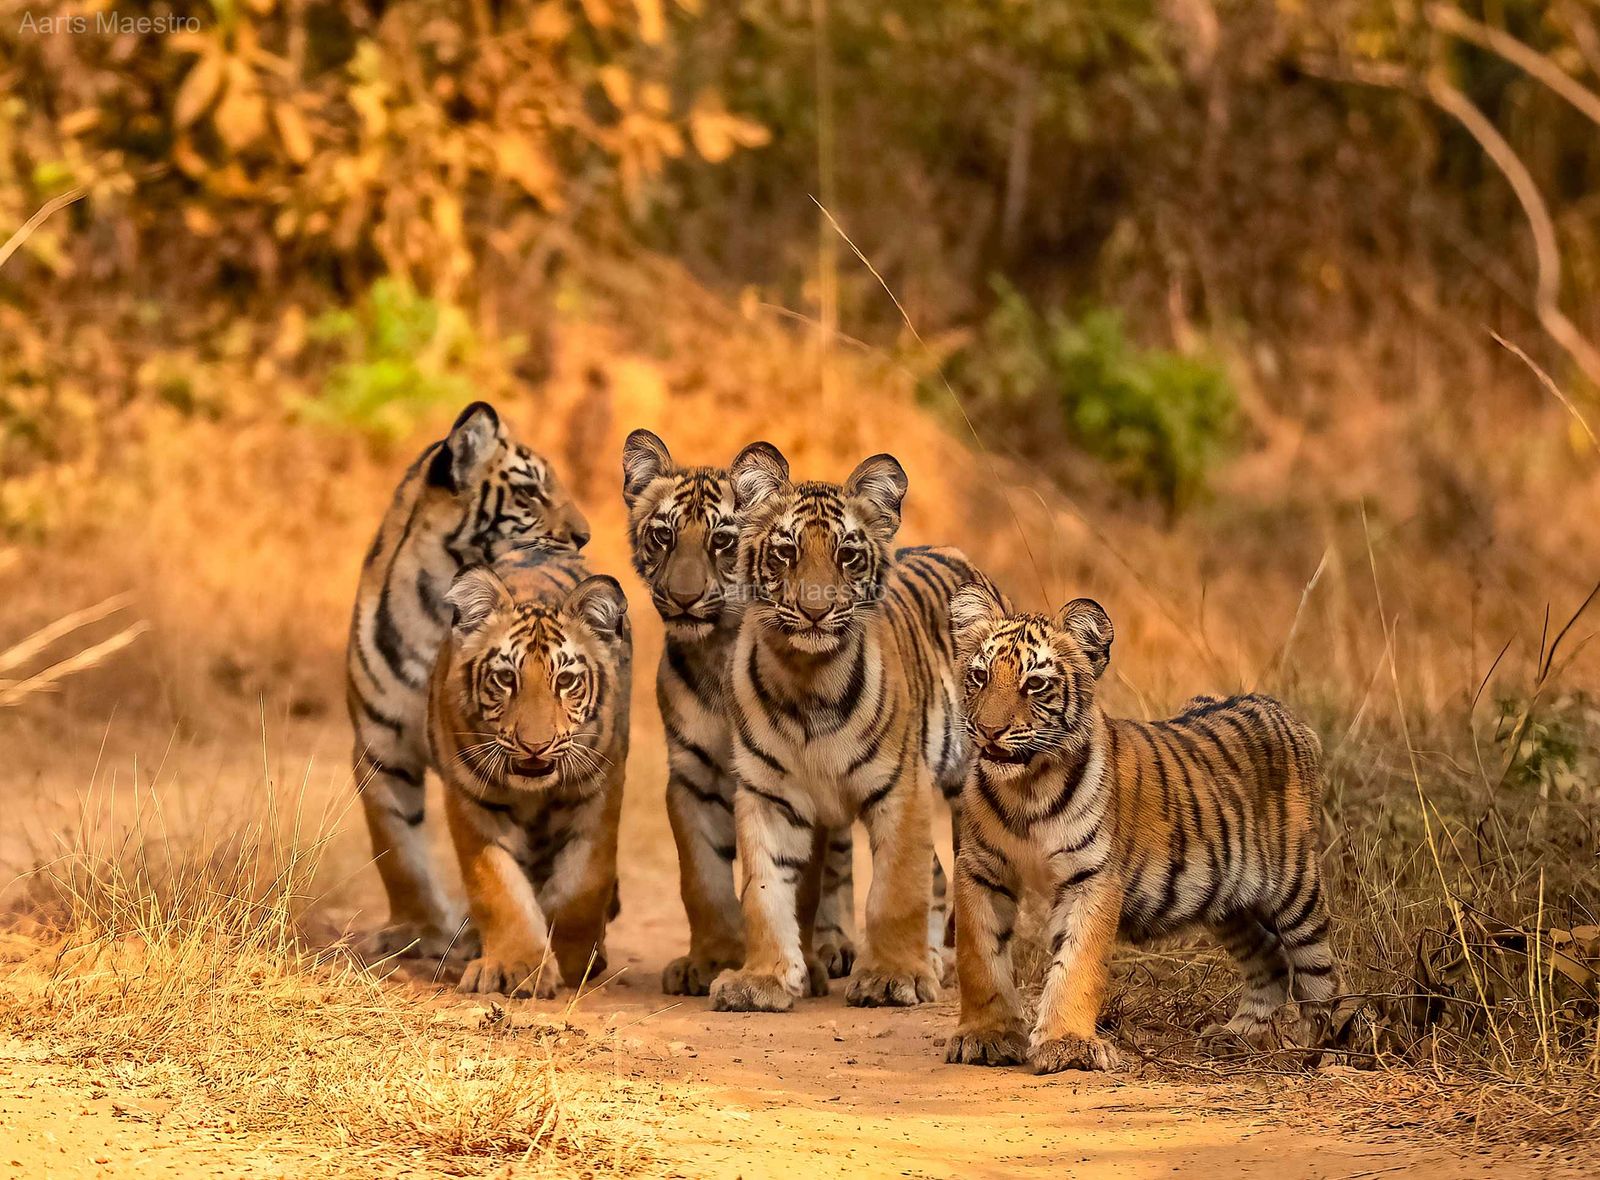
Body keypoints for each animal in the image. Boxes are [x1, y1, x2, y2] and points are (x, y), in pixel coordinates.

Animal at [428, 550, 630, 997]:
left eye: (566, 680)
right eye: (506, 677)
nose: (535, 746)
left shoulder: (598, 791)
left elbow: (583, 884)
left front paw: (572, 961)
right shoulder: (472, 801)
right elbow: (497, 887)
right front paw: (516, 966)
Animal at [621, 429, 860, 996]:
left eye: (722, 541)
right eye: (663, 535)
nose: (683, 598)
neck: (718, 652)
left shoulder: (802, 777)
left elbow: (803, 886)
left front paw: (804, 965)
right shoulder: (691, 776)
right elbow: (701, 878)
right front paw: (708, 960)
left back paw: (835, 945)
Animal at [708, 442, 972, 1013]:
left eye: (847, 554)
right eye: (786, 551)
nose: (814, 610)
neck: (807, 680)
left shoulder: (902, 790)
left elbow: (894, 892)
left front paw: (892, 978)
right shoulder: (767, 794)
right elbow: (763, 891)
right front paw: (761, 981)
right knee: (937, 875)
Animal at [942, 578, 1345, 1074]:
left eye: (1034, 683)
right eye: (980, 676)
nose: (988, 730)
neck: (1026, 788)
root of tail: (1281, 710)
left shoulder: (1092, 877)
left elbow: (1078, 964)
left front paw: (1066, 1045)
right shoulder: (981, 869)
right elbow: (980, 957)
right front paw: (987, 1037)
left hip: (1295, 887)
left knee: (1319, 973)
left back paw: (1311, 1050)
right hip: (1228, 902)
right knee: (1270, 959)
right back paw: (1238, 1036)